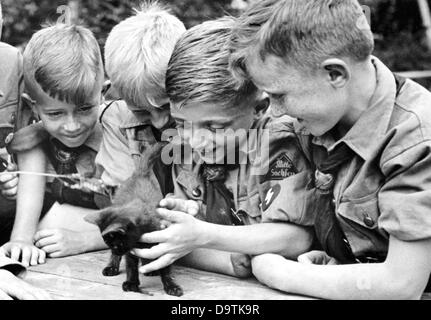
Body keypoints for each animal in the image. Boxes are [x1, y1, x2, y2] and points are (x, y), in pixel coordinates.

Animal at [85, 142, 183, 298]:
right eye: (109, 244)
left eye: (117, 243)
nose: (117, 251)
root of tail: (139, 173)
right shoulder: (130, 250)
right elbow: (131, 267)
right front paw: (131, 283)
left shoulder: (162, 242)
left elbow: (166, 268)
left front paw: (171, 286)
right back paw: (112, 266)